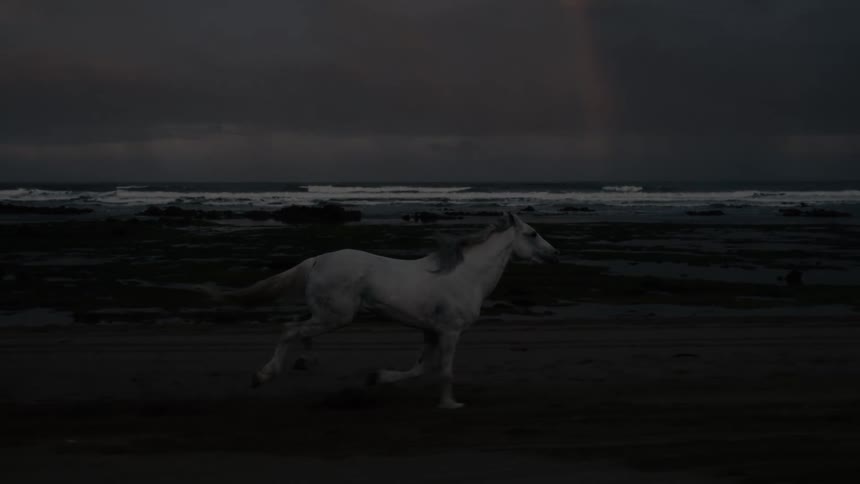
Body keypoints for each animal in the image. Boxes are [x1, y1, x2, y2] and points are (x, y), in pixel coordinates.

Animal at [206, 212, 559, 409]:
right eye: (532, 234)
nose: (554, 254)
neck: (466, 275)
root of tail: (316, 260)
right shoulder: (450, 332)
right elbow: (444, 370)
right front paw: (450, 404)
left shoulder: (431, 331)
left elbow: (420, 368)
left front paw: (376, 378)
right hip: (337, 317)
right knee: (289, 329)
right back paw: (263, 375)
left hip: (327, 316)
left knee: (297, 329)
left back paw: (302, 361)